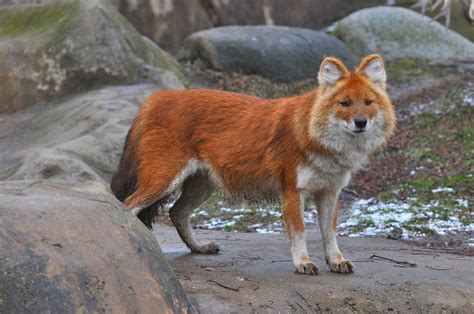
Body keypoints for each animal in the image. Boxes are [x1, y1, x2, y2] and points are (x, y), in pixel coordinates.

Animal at [111, 54, 396, 274]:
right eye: (344, 103)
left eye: (368, 102)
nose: (361, 122)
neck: (322, 141)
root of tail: (154, 99)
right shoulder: (292, 191)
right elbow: (300, 231)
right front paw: (303, 263)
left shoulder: (330, 192)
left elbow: (330, 232)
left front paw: (336, 261)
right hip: (164, 179)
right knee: (129, 204)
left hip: (202, 185)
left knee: (176, 213)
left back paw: (199, 247)